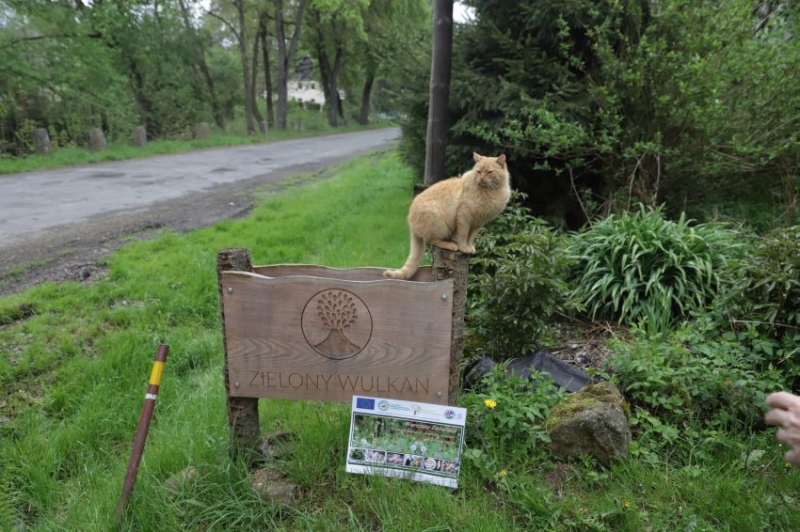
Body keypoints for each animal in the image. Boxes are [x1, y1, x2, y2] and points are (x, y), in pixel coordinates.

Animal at [382, 152, 512, 280]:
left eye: (489, 172)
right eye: (479, 172)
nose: (481, 178)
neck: (490, 192)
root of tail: (410, 220)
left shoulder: (477, 223)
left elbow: (470, 237)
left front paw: (469, 247)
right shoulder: (464, 217)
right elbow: (463, 235)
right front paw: (463, 247)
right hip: (439, 224)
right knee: (432, 240)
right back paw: (452, 245)